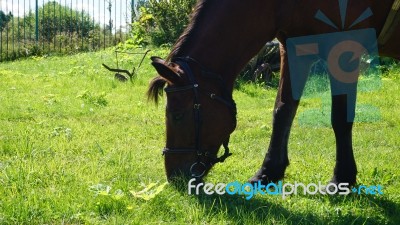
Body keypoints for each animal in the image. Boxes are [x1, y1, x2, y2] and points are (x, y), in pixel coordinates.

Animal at [147, 0, 400, 185]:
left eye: (177, 115)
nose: (174, 176)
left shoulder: (343, 50)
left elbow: (340, 118)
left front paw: (342, 179)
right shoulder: (293, 48)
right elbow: (283, 110)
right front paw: (268, 171)